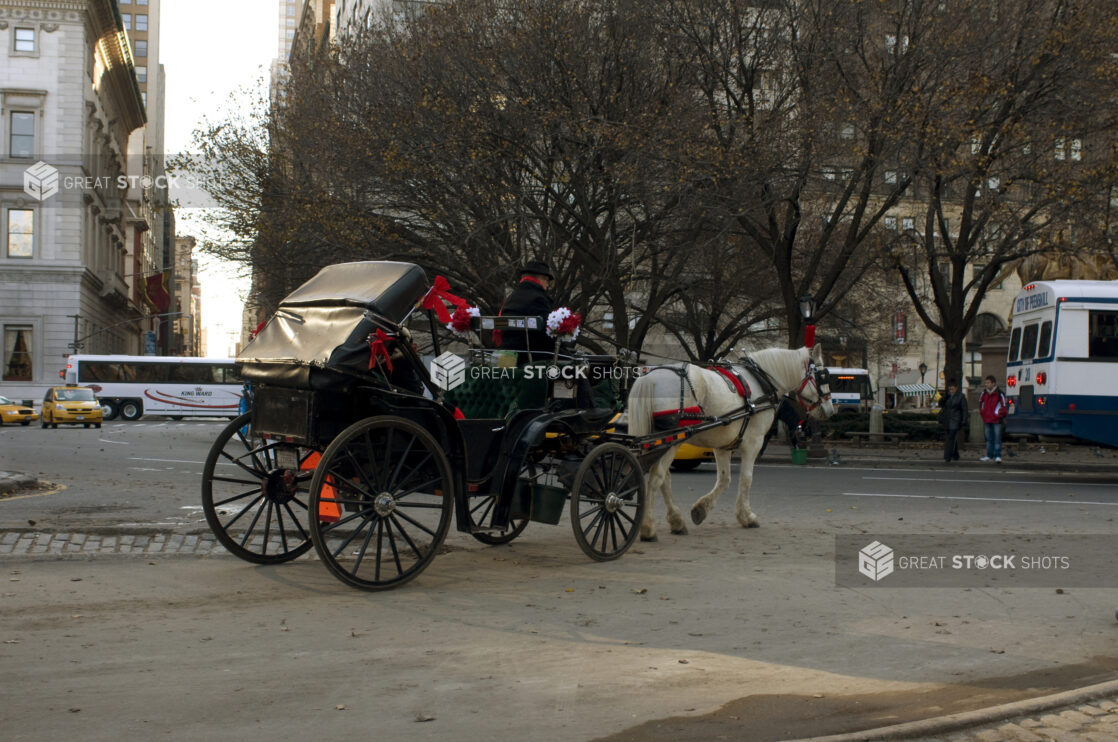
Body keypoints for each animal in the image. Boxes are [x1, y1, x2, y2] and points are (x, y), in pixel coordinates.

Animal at [630, 344, 831, 543]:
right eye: (822, 375)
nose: (830, 409)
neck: (761, 380)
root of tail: (650, 377)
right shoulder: (754, 442)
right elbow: (747, 479)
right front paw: (747, 516)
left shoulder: (723, 445)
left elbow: (725, 479)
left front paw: (701, 509)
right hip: (671, 440)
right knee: (657, 476)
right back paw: (648, 529)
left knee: (664, 477)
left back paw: (676, 521)